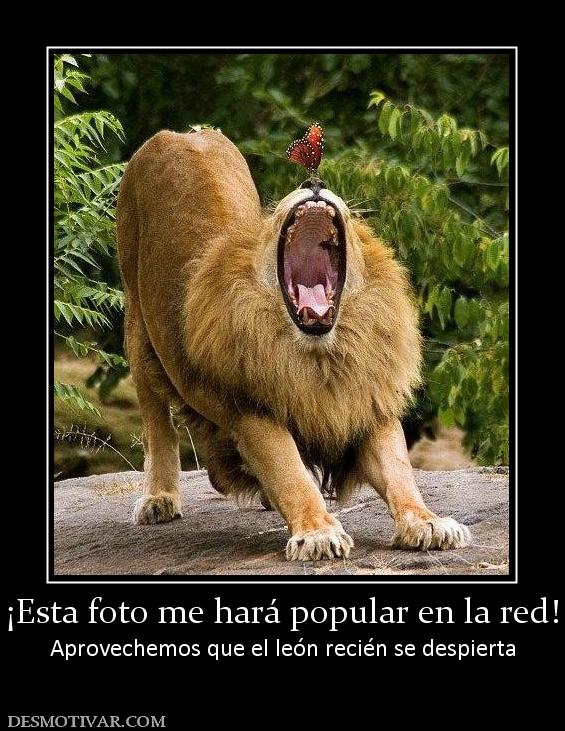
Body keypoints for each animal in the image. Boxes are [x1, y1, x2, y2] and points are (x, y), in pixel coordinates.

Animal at [116, 128, 470, 561]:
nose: (313, 182)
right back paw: (159, 498)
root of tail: (178, 133)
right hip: (137, 325)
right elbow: (289, 472)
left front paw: (427, 522)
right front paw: (318, 532)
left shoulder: (367, 401)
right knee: (156, 423)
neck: (321, 356)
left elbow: (399, 472)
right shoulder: (252, 411)